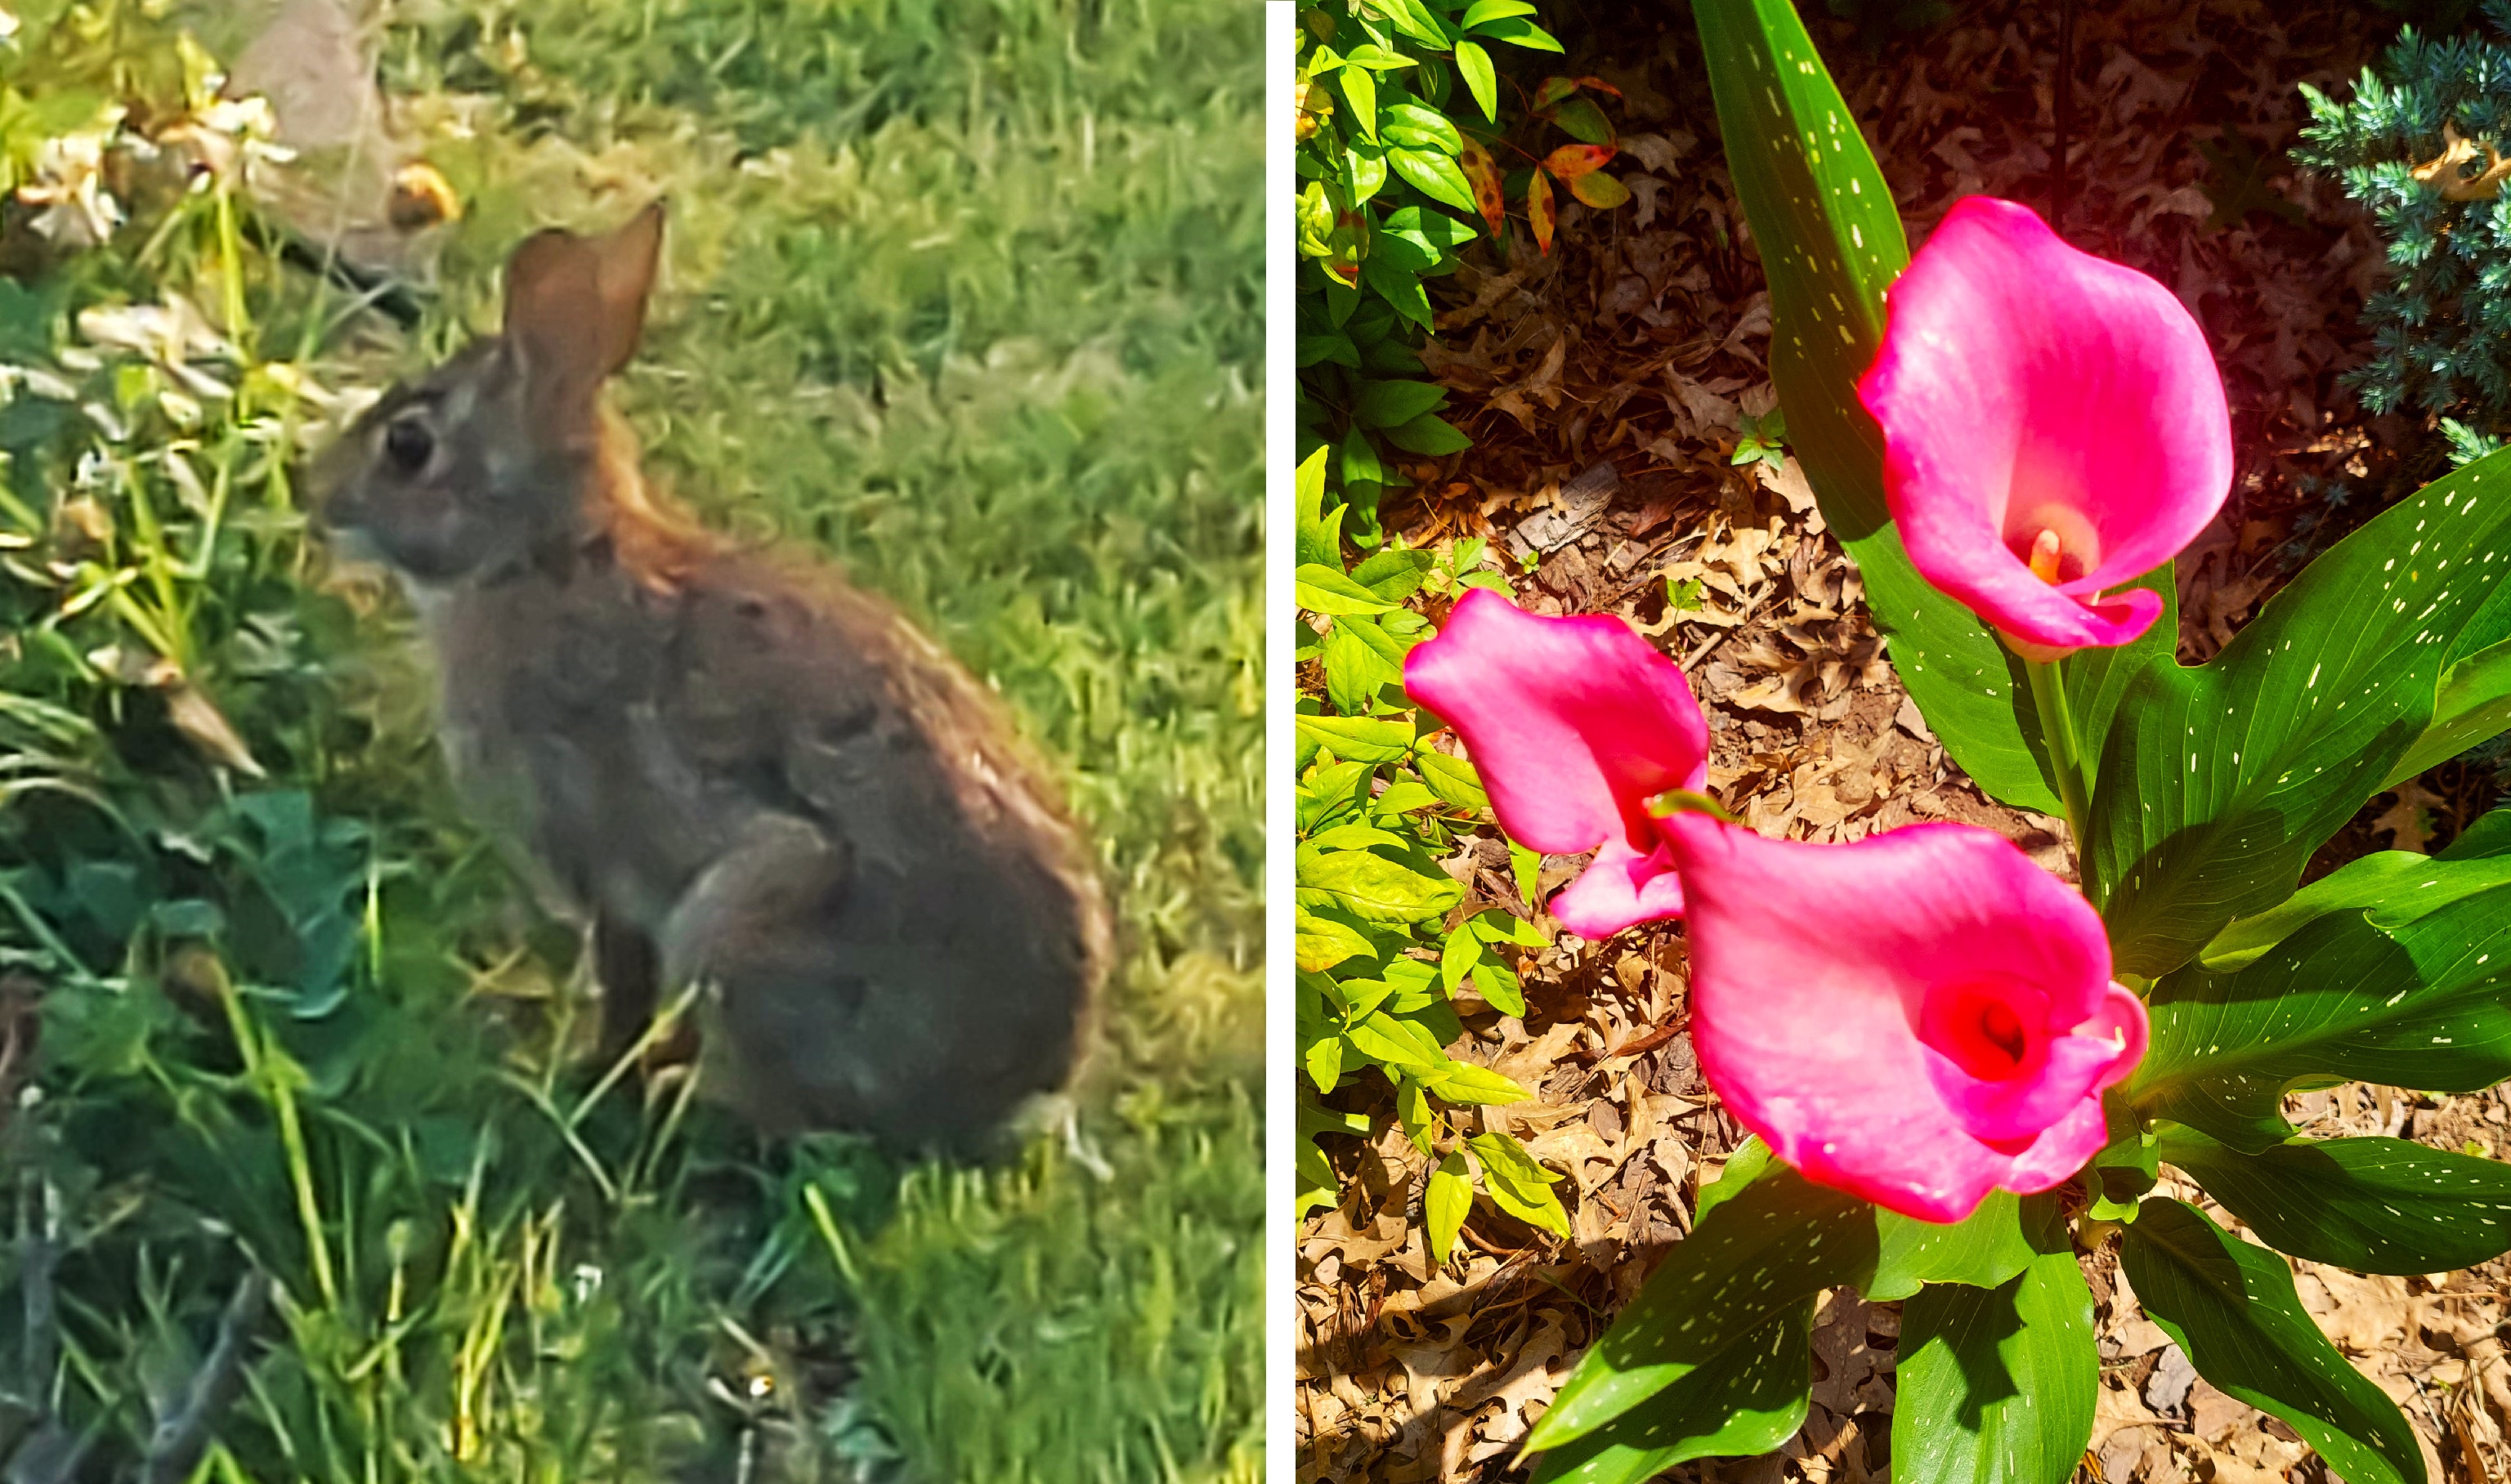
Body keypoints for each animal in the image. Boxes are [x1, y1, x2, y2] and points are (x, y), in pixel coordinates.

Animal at [312, 202, 1111, 1155]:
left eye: (408, 445)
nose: (317, 494)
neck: (539, 558)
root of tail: (1015, 1092)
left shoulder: (604, 862)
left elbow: (623, 982)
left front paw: (591, 1077)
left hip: (747, 915)